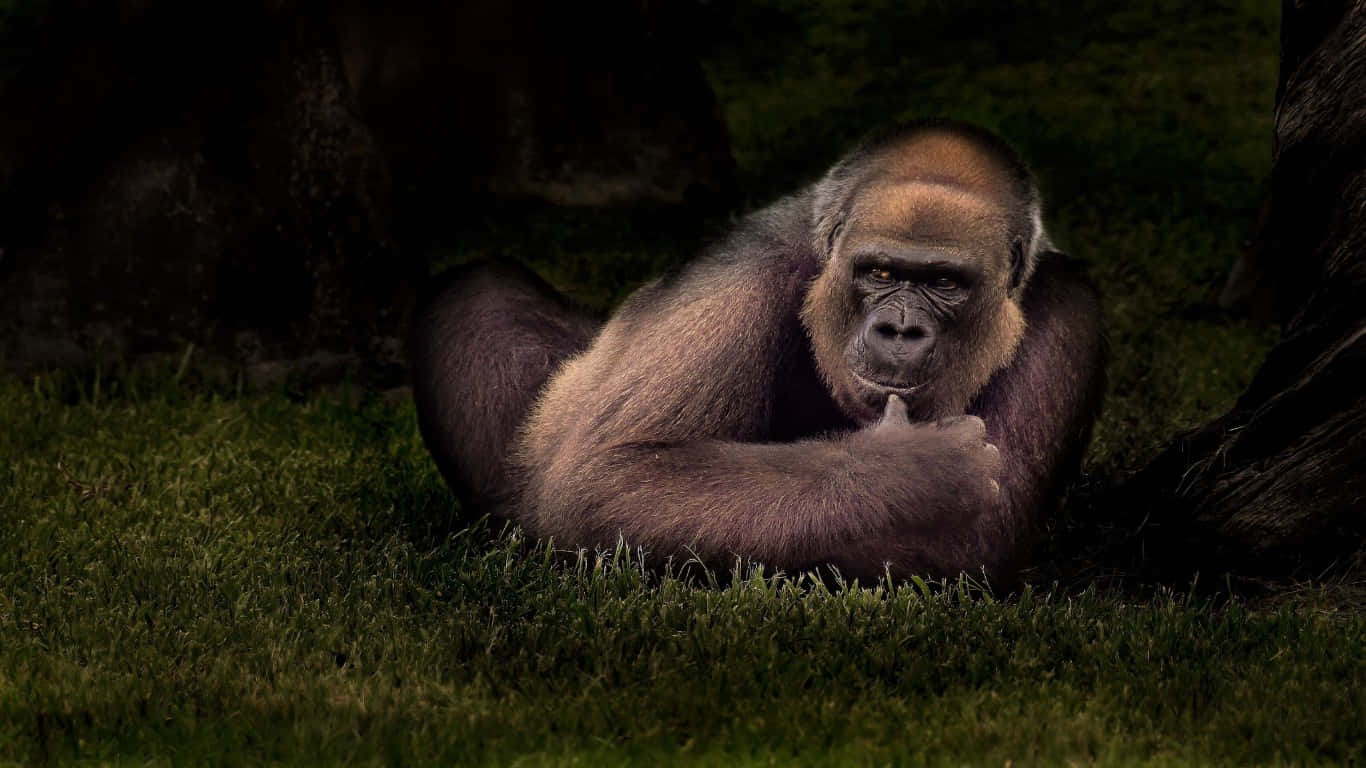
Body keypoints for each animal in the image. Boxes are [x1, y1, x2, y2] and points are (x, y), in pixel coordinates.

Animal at [411, 119, 1105, 584]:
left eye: (945, 283)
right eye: (879, 273)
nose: (900, 331)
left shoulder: (1070, 307)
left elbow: (982, 540)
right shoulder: (742, 276)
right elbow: (607, 479)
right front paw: (909, 477)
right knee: (478, 293)